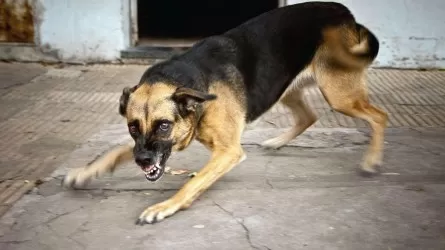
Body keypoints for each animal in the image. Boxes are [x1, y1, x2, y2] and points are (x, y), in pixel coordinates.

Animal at [61, 1, 386, 225]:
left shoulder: (228, 152)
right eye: (132, 127)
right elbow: (114, 152)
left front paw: (164, 207)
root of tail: (343, 10)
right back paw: (277, 142)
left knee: (379, 116)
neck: (195, 91)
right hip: (285, 88)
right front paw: (85, 172)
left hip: (339, 95)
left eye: (164, 125)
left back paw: (371, 160)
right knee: (309, 117)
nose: (142, 162)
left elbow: (191, 182)